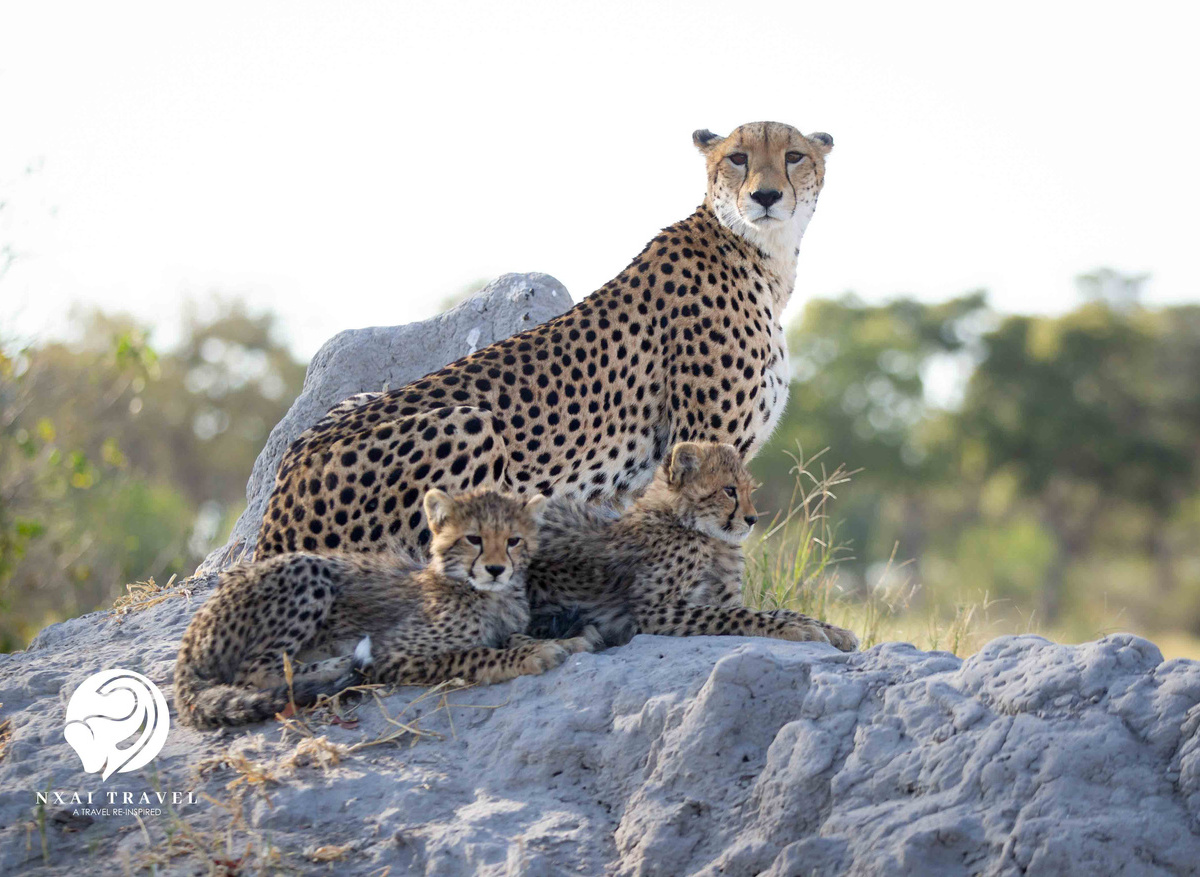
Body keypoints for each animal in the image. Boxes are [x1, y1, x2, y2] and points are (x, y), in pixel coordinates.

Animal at [174, 489, 598, 728]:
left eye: (513, 541)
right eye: (474, 539)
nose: (496, 569)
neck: (486, 594)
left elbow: (511, 636)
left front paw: (565, 640)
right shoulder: (397, 652)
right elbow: (475, 654)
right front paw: (532, 654)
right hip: (308, 569)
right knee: (257, 670)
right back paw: (339, 666)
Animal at [255, 121, 835, 561]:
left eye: (794, 156)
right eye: (737, 157)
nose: (765, 196)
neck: (758, 251)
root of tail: (271, 524)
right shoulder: (701, 446)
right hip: (468, 422)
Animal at [524, 441, 859, 651]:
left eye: (749, 490)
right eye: (729, 490)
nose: (752, 519)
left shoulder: (723, 599)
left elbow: (779, 610)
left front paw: (834, 631)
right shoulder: (654, 610)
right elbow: (742, 616)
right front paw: (796, 630)